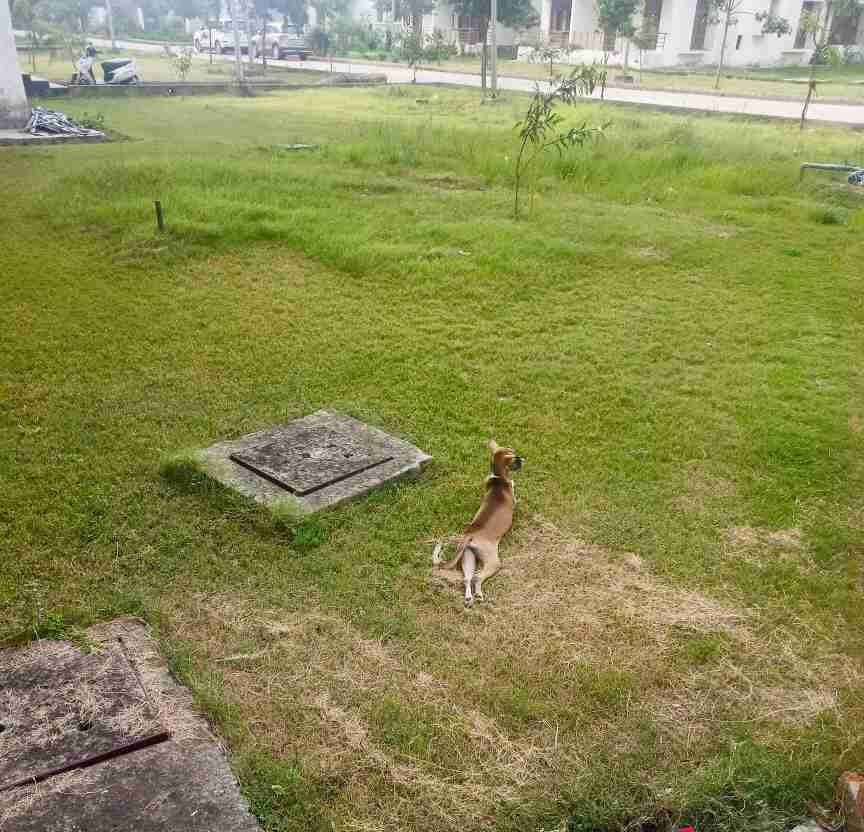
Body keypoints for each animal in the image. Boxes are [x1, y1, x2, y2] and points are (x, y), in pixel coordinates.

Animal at [436, 438, 524, 608]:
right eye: (515, 457)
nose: (522, 459)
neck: (498, 477)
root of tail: (469, 535)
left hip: (468, 557)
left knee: (467, 578)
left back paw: (469, 599)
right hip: (493, 561)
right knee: (477, 577)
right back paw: (478, 595)